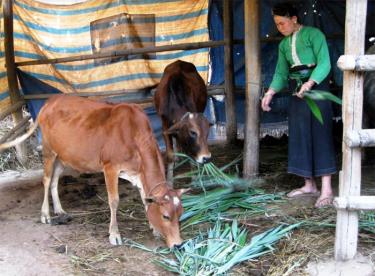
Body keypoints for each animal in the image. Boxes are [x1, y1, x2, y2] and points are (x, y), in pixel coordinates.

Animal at [0, 95, 187, 248]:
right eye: (165, 216)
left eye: (180, 214)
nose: (178, 245)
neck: (134, 136)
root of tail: (51, 100)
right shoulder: (110, 167)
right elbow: (114, 201)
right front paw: (114, 234)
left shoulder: (138, 174)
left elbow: (145, 200)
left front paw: (153, 229)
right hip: (48, 150)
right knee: (46, 180)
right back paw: (45, 214)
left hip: (63, 156)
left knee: (54, 180)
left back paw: (59, 210)